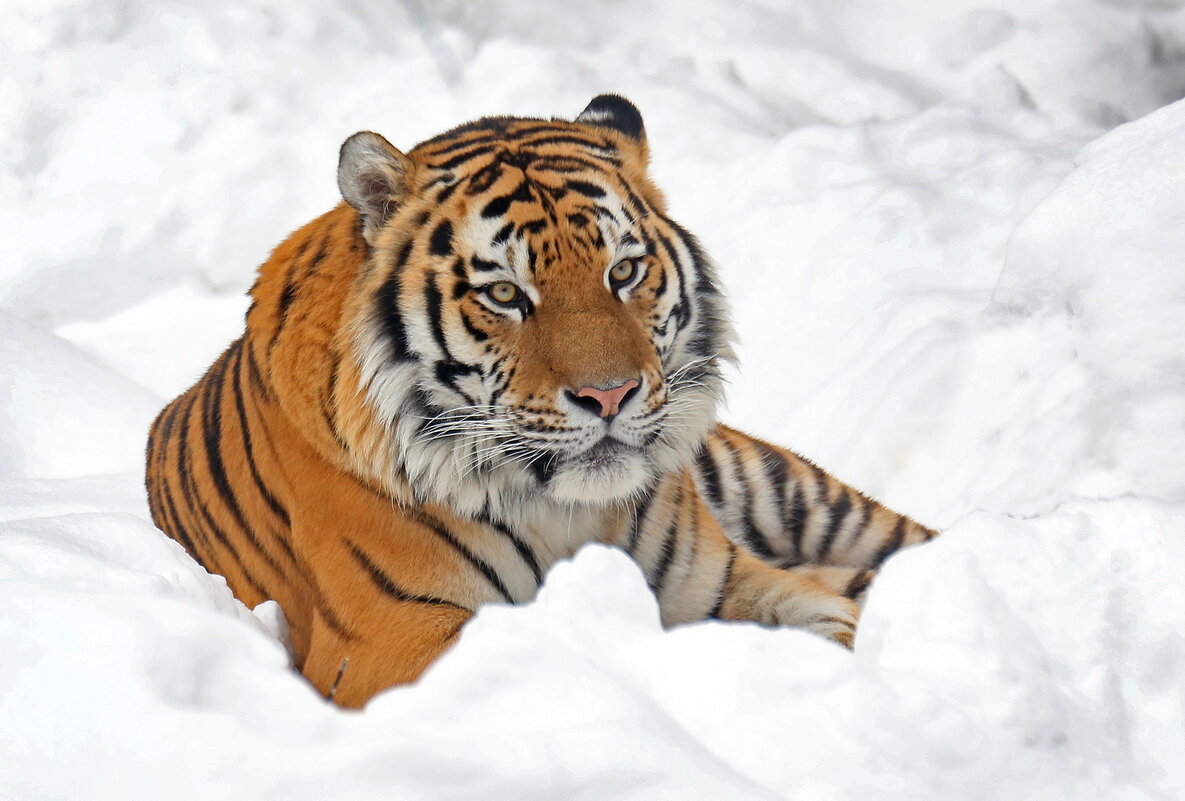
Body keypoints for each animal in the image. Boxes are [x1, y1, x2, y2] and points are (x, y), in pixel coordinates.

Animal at [143, 95, 938, 706]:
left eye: (624, 272)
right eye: (503, 293)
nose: (609, 394)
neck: (569, 516)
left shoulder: (725, 586)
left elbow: (828, 622)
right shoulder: (390, 644)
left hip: (800, 492)